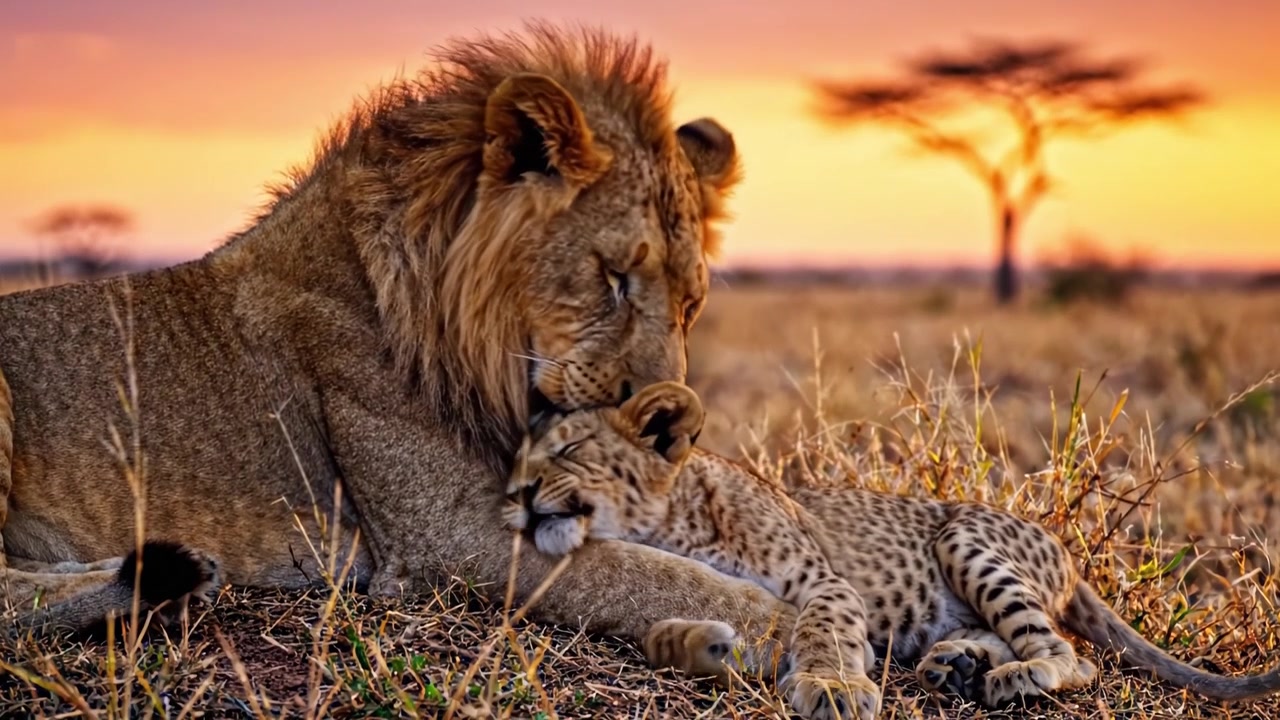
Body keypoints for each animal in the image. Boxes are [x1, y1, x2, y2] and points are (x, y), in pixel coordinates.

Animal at [0, 21, 794, 654]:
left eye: (691, 302)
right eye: (613, 277)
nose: (673, 426)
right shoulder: (448, 536)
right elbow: (649, 576)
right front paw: (790, 632)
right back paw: (163, 584)